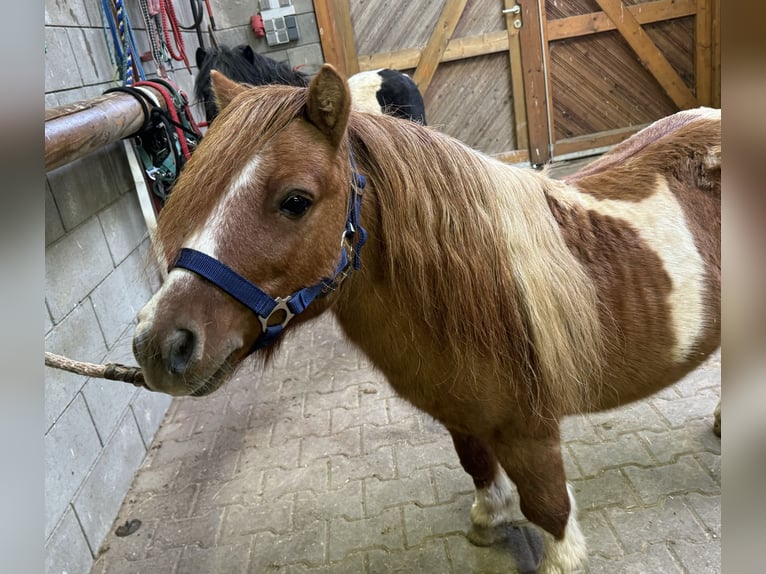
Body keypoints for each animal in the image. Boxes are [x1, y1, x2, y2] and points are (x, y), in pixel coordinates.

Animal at [135, 66, 724, 572]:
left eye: (296, 201)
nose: (159, 345)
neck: (477, 285)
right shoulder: (460, 414)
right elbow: (478, 466)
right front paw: (489, 518)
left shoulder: (531, 431)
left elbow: (548, 505)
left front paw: (558, 558)